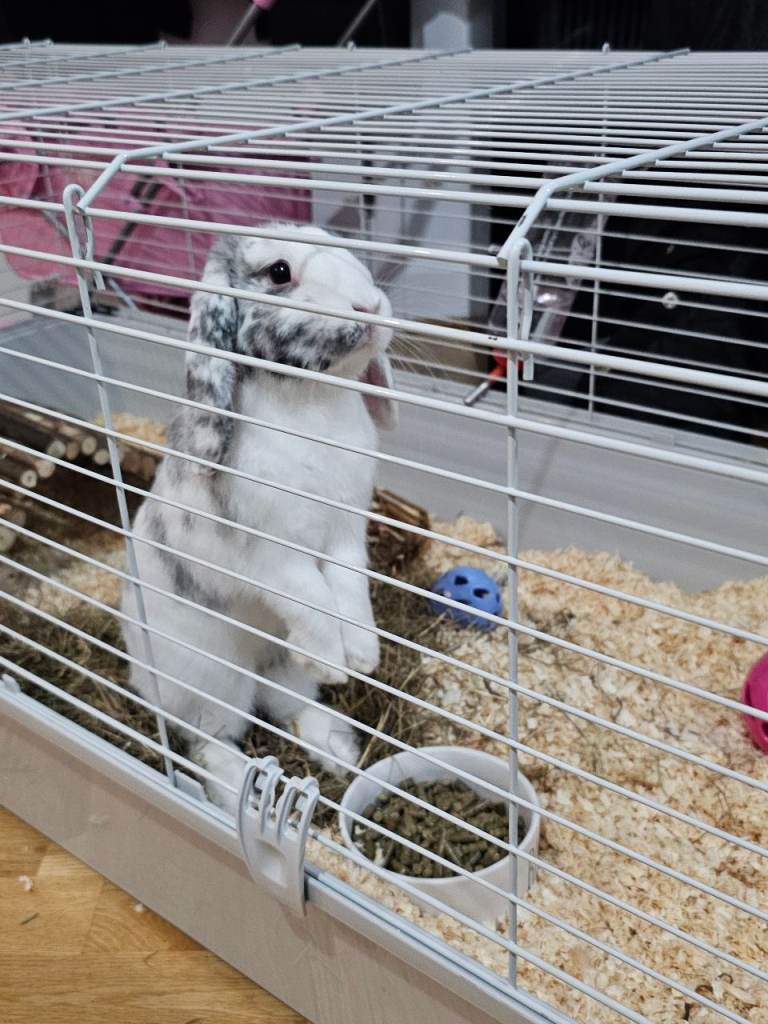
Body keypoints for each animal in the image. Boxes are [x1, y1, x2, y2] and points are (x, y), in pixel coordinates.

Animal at [121, 223, 396, 814]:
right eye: (279, 272)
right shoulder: (273, 555)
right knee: (211, 741)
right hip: (212, 683)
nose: (370, 305)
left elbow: (350, 592)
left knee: (291, 704)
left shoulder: (345, 535)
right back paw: (238, 789)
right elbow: (313, 600)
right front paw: (336, 659)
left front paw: (363, 656)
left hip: (279, 669)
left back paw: (338, 747)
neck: (313, 402)